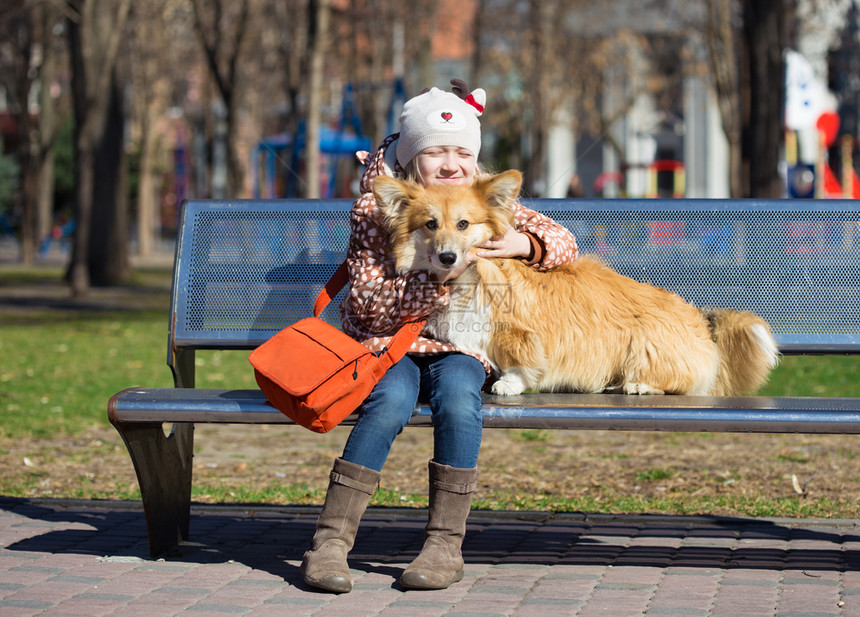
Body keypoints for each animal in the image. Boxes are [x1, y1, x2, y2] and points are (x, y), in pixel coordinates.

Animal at [372, 168, 780, 394]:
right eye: (430, 224)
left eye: (463, 224)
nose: (448, 257)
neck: (468, 280)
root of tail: (702, 325)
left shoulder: (521, 333)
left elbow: (523, 361)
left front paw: (510, 384)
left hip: (644, 344)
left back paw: (636, 384)